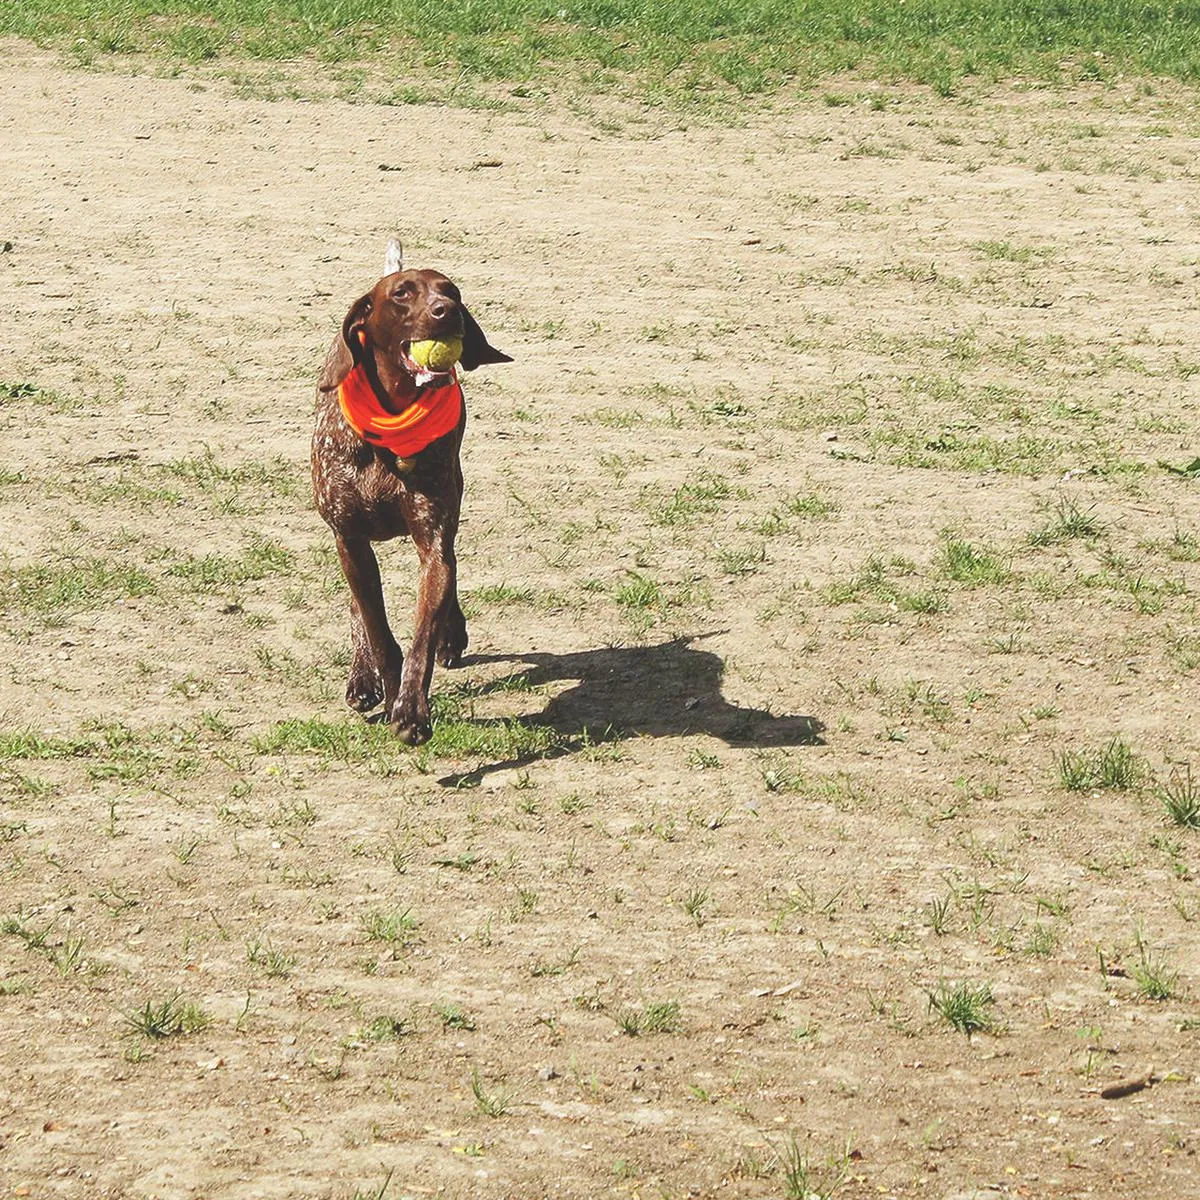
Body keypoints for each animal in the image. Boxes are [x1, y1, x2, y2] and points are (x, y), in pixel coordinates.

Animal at [309, 240, 511, 744]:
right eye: (402, 293)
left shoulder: (433, 539)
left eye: (451, 290)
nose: (448, 312)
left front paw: (412, 710)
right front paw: (383, 683)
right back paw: (362, 678)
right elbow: (377, 630)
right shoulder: (350, 541)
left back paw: (451, 636)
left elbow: (423, 630)